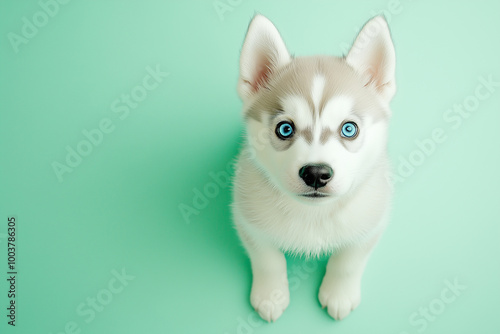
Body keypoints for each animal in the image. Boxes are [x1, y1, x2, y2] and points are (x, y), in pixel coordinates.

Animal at [232, 14, 396, 322]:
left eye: (349, 129)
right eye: (284, 129)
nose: (316, 174)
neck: (314, 214)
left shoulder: (371, 223)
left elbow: (348, 261)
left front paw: (339, 294)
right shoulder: (247, 220)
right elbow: (268, 259)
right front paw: (271, 295)